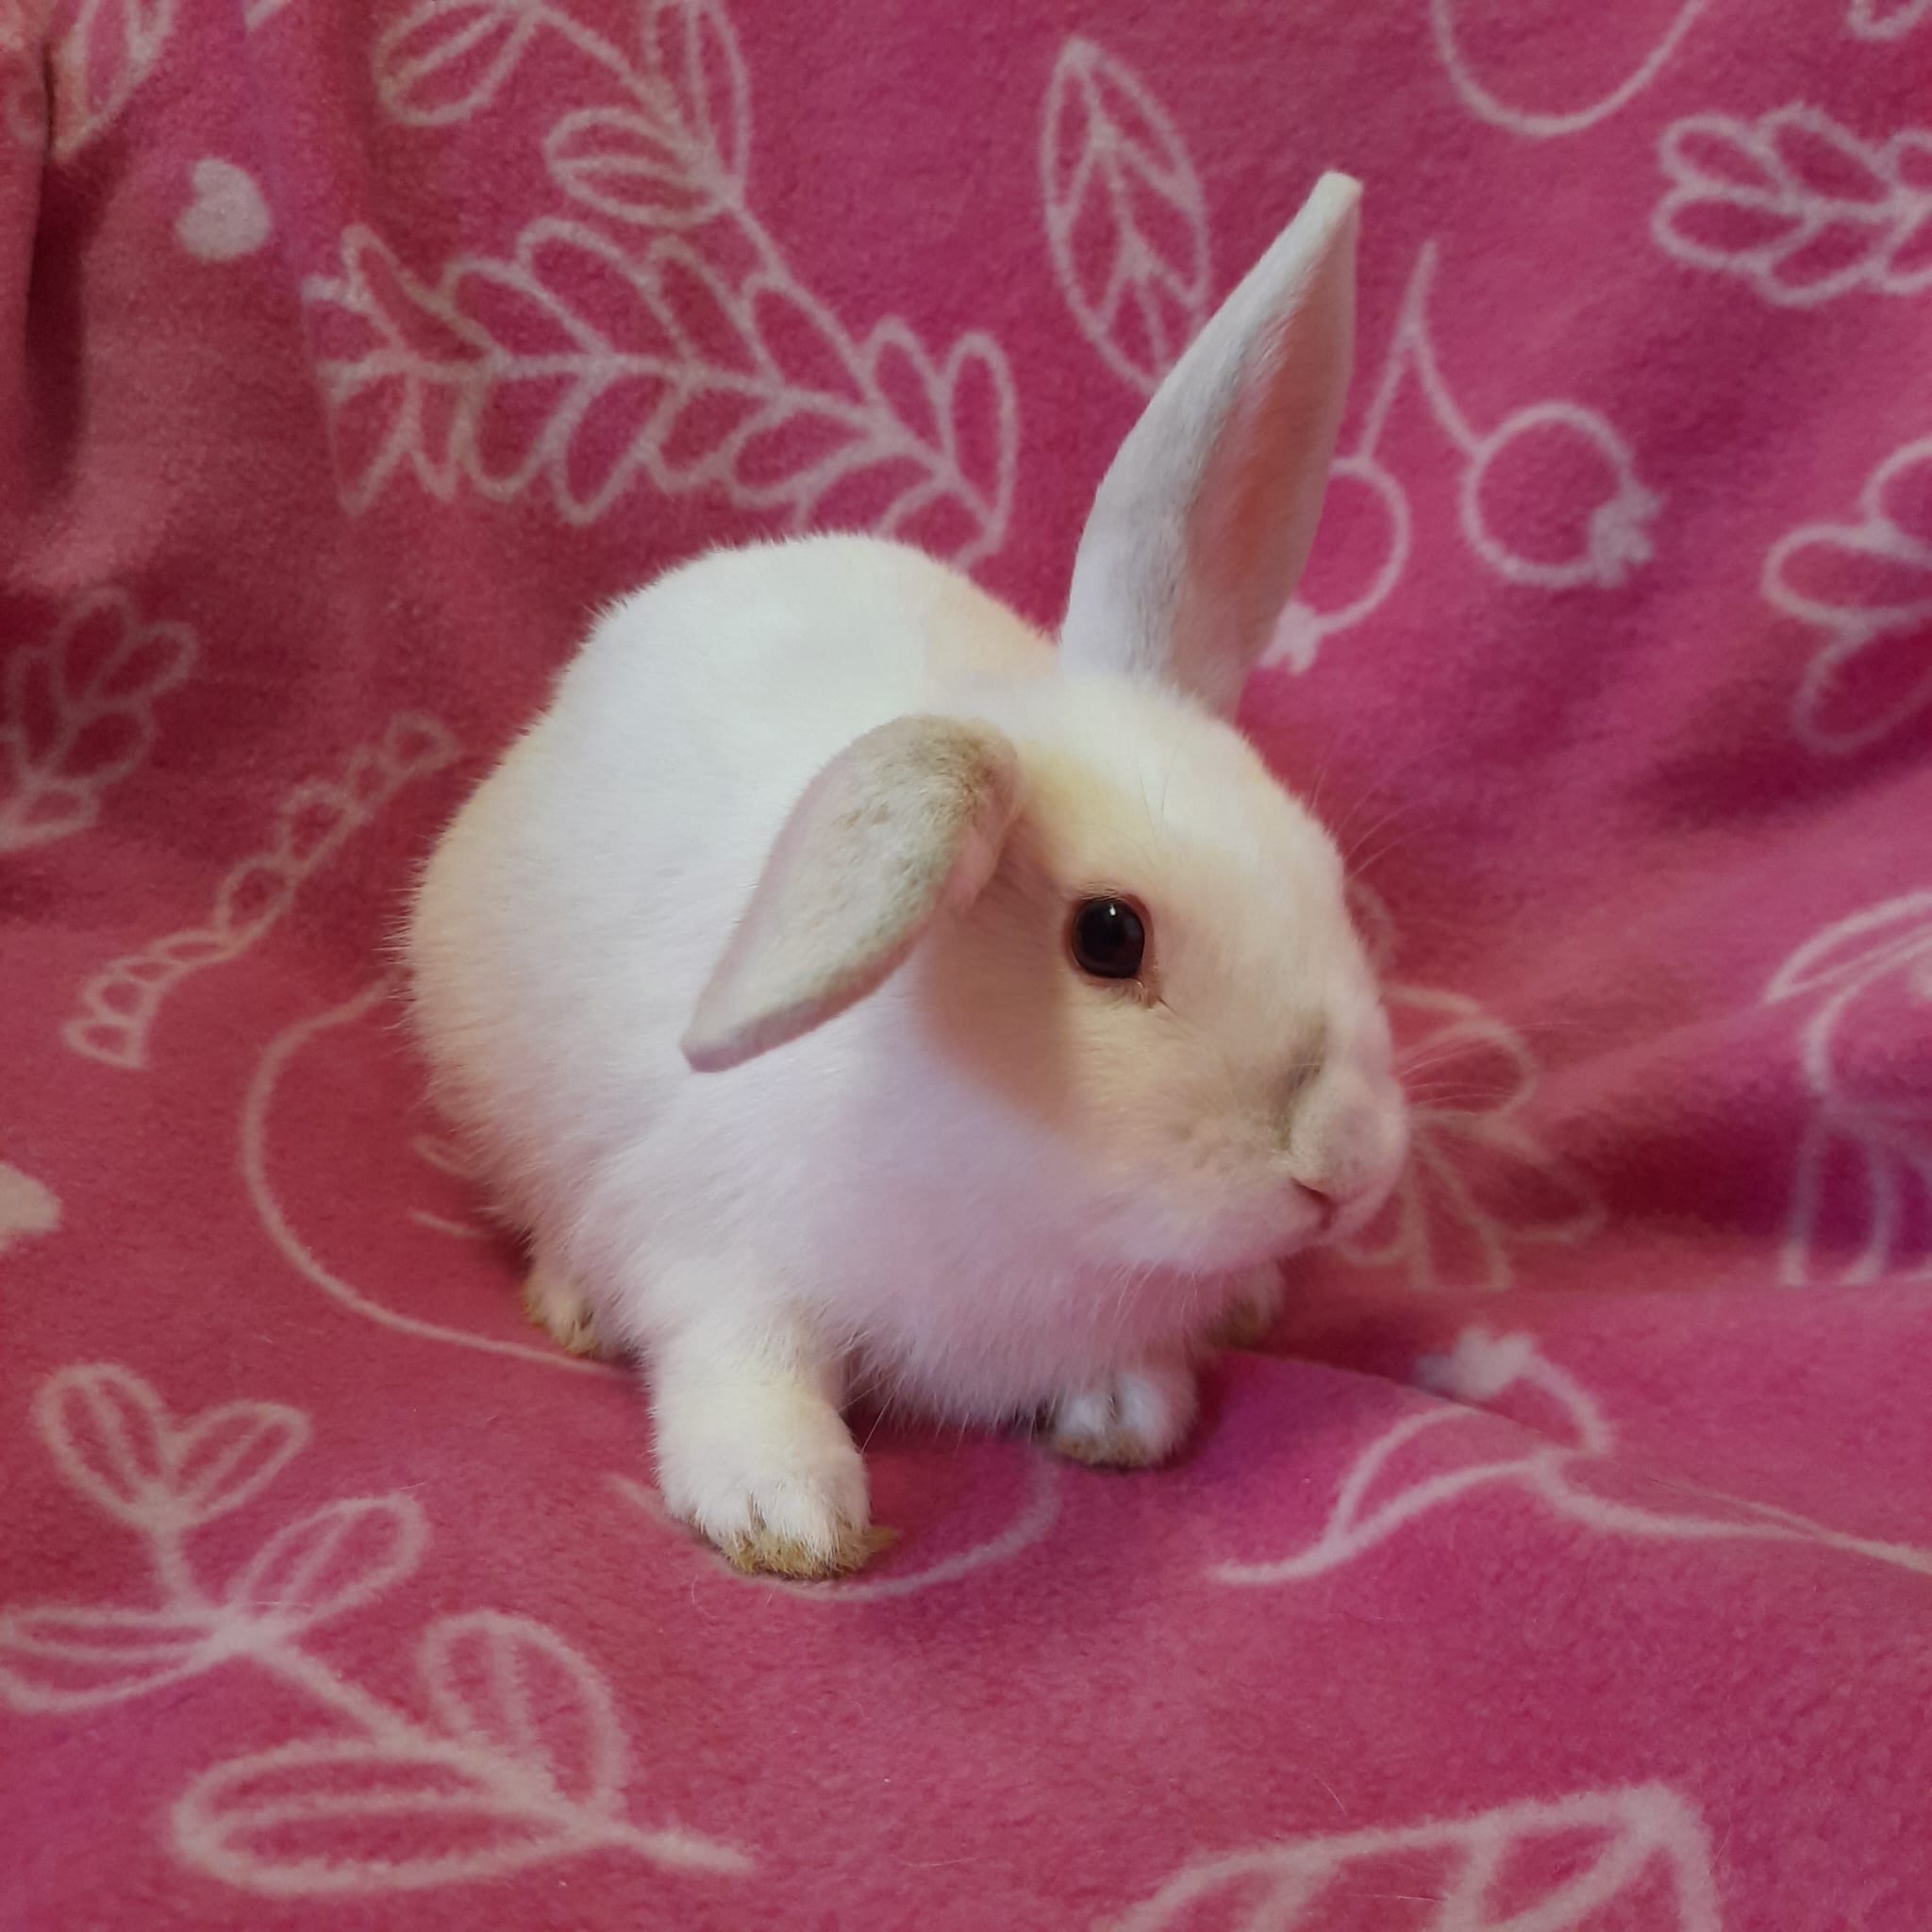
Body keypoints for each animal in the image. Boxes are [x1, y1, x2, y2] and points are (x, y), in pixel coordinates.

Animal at [405, 172, 1409, 1579]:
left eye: (1321, 873)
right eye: (1109, 936)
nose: (1344, 1157)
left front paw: (1126, 1411)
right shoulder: (712, 1251)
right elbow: (741, 1367)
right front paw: (786, 1513)